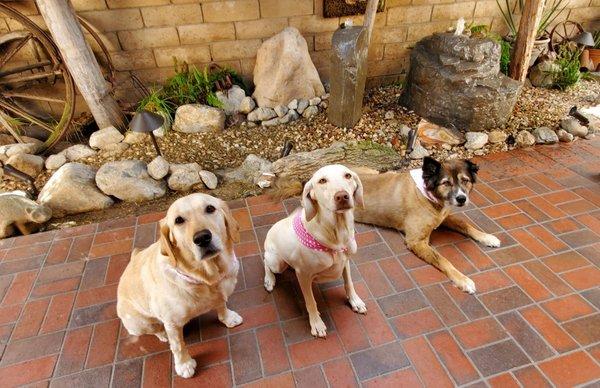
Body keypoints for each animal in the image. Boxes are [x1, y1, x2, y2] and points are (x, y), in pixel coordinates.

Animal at [117, 192, 241, 378]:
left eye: (210, 208)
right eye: (179, 220)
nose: (202, 238)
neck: (207, 278)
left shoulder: (220, 293)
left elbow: (221, 304)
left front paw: (228, 318)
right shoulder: (172, 323)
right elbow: (178, 346)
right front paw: (184, 365)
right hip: (137, 324)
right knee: (154, 329)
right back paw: (162, 334)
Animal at [264, 164, 366, 336]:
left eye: (348, 175)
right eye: (322, 181)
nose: (342, 196)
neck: (337, 232)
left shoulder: (345, 261)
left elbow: (349, 283)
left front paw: (355, 301)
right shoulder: (303, 275)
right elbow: (310, 301)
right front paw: (316, 323)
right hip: (277, 262)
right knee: (265, 261)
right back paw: (269, 280)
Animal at [354, 158, 500, 294]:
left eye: (465, 180)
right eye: (446, 183)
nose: (461, 199)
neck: (427, 194)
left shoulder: (442, 217)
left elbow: (464, 223)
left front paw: (487, 237)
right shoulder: (416, 241)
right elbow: (442, 260)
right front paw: (462, 279)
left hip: (374, 172)